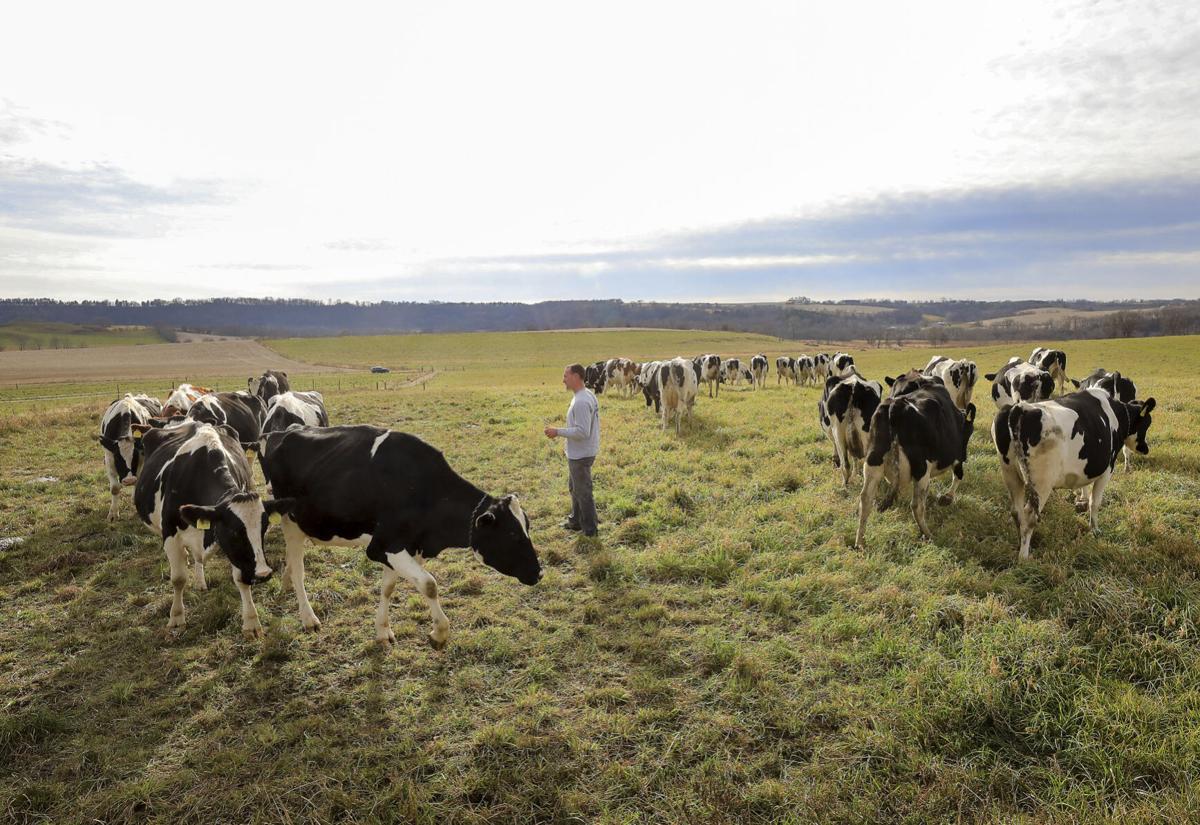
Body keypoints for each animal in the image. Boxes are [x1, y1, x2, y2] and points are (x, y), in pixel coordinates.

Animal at [133, 422, 292, 633]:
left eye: (263, 529)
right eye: (233, 532)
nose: (263, 574)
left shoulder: (236, 552)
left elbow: (240, 578)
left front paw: (251, 622)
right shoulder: (170, 534)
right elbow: (178, 579)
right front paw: (176, 617)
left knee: (197, 558)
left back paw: (200, 581)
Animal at [265, 429, 547, 647]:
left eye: (527, 527)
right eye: (512, 534)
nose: (539, 573)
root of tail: (282, 432)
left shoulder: (405, 548)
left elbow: (389, 588)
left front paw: (382, 631)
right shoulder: (382, 546)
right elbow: (430, 585)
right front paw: (439, 634)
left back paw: (286, 583)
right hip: (290, 520)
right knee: (299, 568)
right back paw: (308, 618)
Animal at [854, 371, 974, 546]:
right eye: (969, 433)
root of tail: (895, 407)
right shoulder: (957, 455)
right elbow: (958, 475)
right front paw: (948, 497)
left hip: (873, 462)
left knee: (865, 499)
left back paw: (860, 542)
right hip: (921, 468)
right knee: (917, 505)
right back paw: (928, 534)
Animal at [993, 388, 1152, 561]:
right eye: (1146, 424)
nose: (1146, 449)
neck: (1116, 413)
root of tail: (1021, 408)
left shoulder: (1086, 466)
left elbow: (1085, 487)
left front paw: (1081, 500)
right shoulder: (1107, 469)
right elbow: (1095, 502)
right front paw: (1094, 529)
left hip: (1011, 475)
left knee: (1017, 512)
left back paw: (1022, 544)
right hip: (1041, 483)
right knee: (1029, 516)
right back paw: (1024, 556)